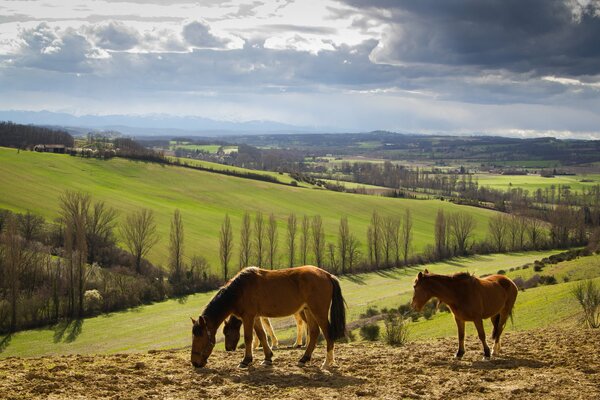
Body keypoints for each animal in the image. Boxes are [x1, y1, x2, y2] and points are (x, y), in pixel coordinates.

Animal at [190, 266, 344, 368]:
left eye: (200, 336)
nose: (194, 362)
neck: (240, 290)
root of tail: (327, 275)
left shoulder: (248, 317)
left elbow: (248, 338)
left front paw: (246, 360)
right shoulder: (256, 317)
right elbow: (262, 335)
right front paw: (268, 358)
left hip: (318, 311)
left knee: (327, 333)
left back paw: (327, 362)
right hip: (308, 310)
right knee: (314, 332)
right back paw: (304, 359)